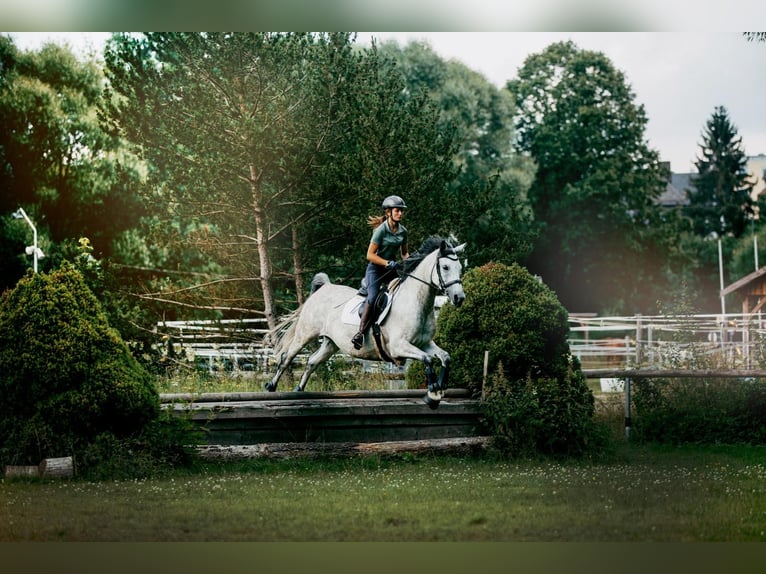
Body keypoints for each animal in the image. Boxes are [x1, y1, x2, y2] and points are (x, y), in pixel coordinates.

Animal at [264, 237, 468, 410]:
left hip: (331, 343)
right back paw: (271, 386)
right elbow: (427, 359)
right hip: (305, 333)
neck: (417, 302)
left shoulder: (425, 343)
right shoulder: (398, 346)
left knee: (312, 361)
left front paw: (439, 390)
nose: (459, 298)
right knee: (287, 357)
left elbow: (445, 357)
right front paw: (432, 394)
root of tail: (324, 288)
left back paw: (298, 390)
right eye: (445, 267)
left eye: (460, 268)